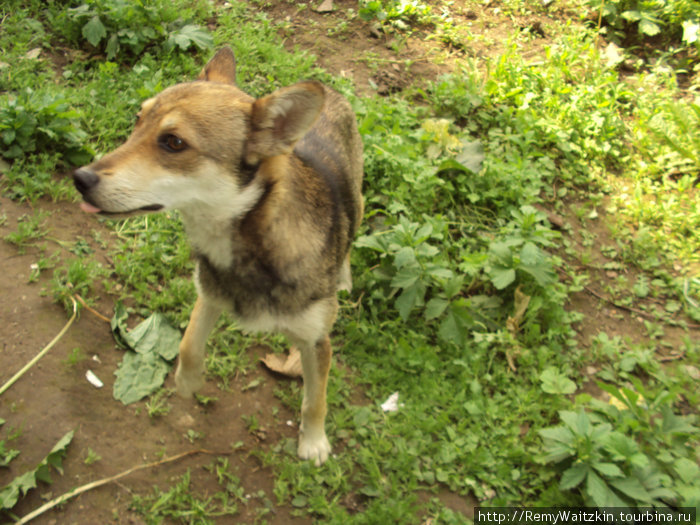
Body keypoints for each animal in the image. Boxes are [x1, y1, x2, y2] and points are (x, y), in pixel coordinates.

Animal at [73, 47, 364, 464]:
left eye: (174, 142)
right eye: (138, 120)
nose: (80, 178)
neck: (249, 242)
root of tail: (329, 88)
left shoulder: (316, 342)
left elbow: (315, 400)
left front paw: (313, 442)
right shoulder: (209, 293)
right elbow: (188, 344)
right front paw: (188, 380)